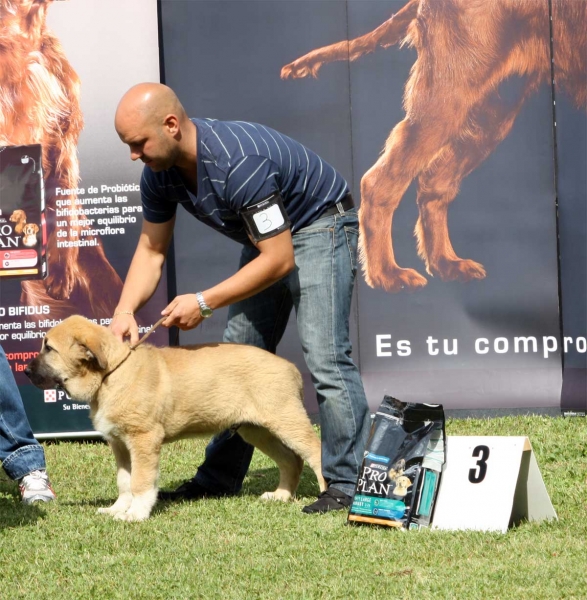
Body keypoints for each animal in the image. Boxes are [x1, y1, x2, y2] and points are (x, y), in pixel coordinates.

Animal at [26, 316, 326, 524]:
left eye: (49, 348)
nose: (26, 371)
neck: (110, 375)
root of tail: (291, 367)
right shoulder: (120, 444)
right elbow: (124, 481)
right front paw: (117, 509)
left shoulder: (144, 440)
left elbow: (140, 482)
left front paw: (136, 514)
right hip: (256, 430)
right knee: (291, 460)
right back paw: (281, 495)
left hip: (286, 419)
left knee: (316, 452)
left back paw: (326, 494)